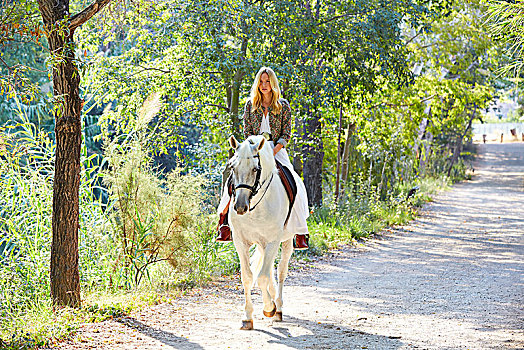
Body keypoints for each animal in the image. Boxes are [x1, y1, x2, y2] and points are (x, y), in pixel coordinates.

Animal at [228, 135, 296, 330]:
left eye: (255, 169)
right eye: (232, 167)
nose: (240, 206)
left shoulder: (273, 241)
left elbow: (263, 277)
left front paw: (268, 308)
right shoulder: (240, 241)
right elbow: (248, 277)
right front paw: (247, 317)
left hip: (285, 241)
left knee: (280, 271)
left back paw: (277, 307)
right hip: (263, 243)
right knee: (269, 269)